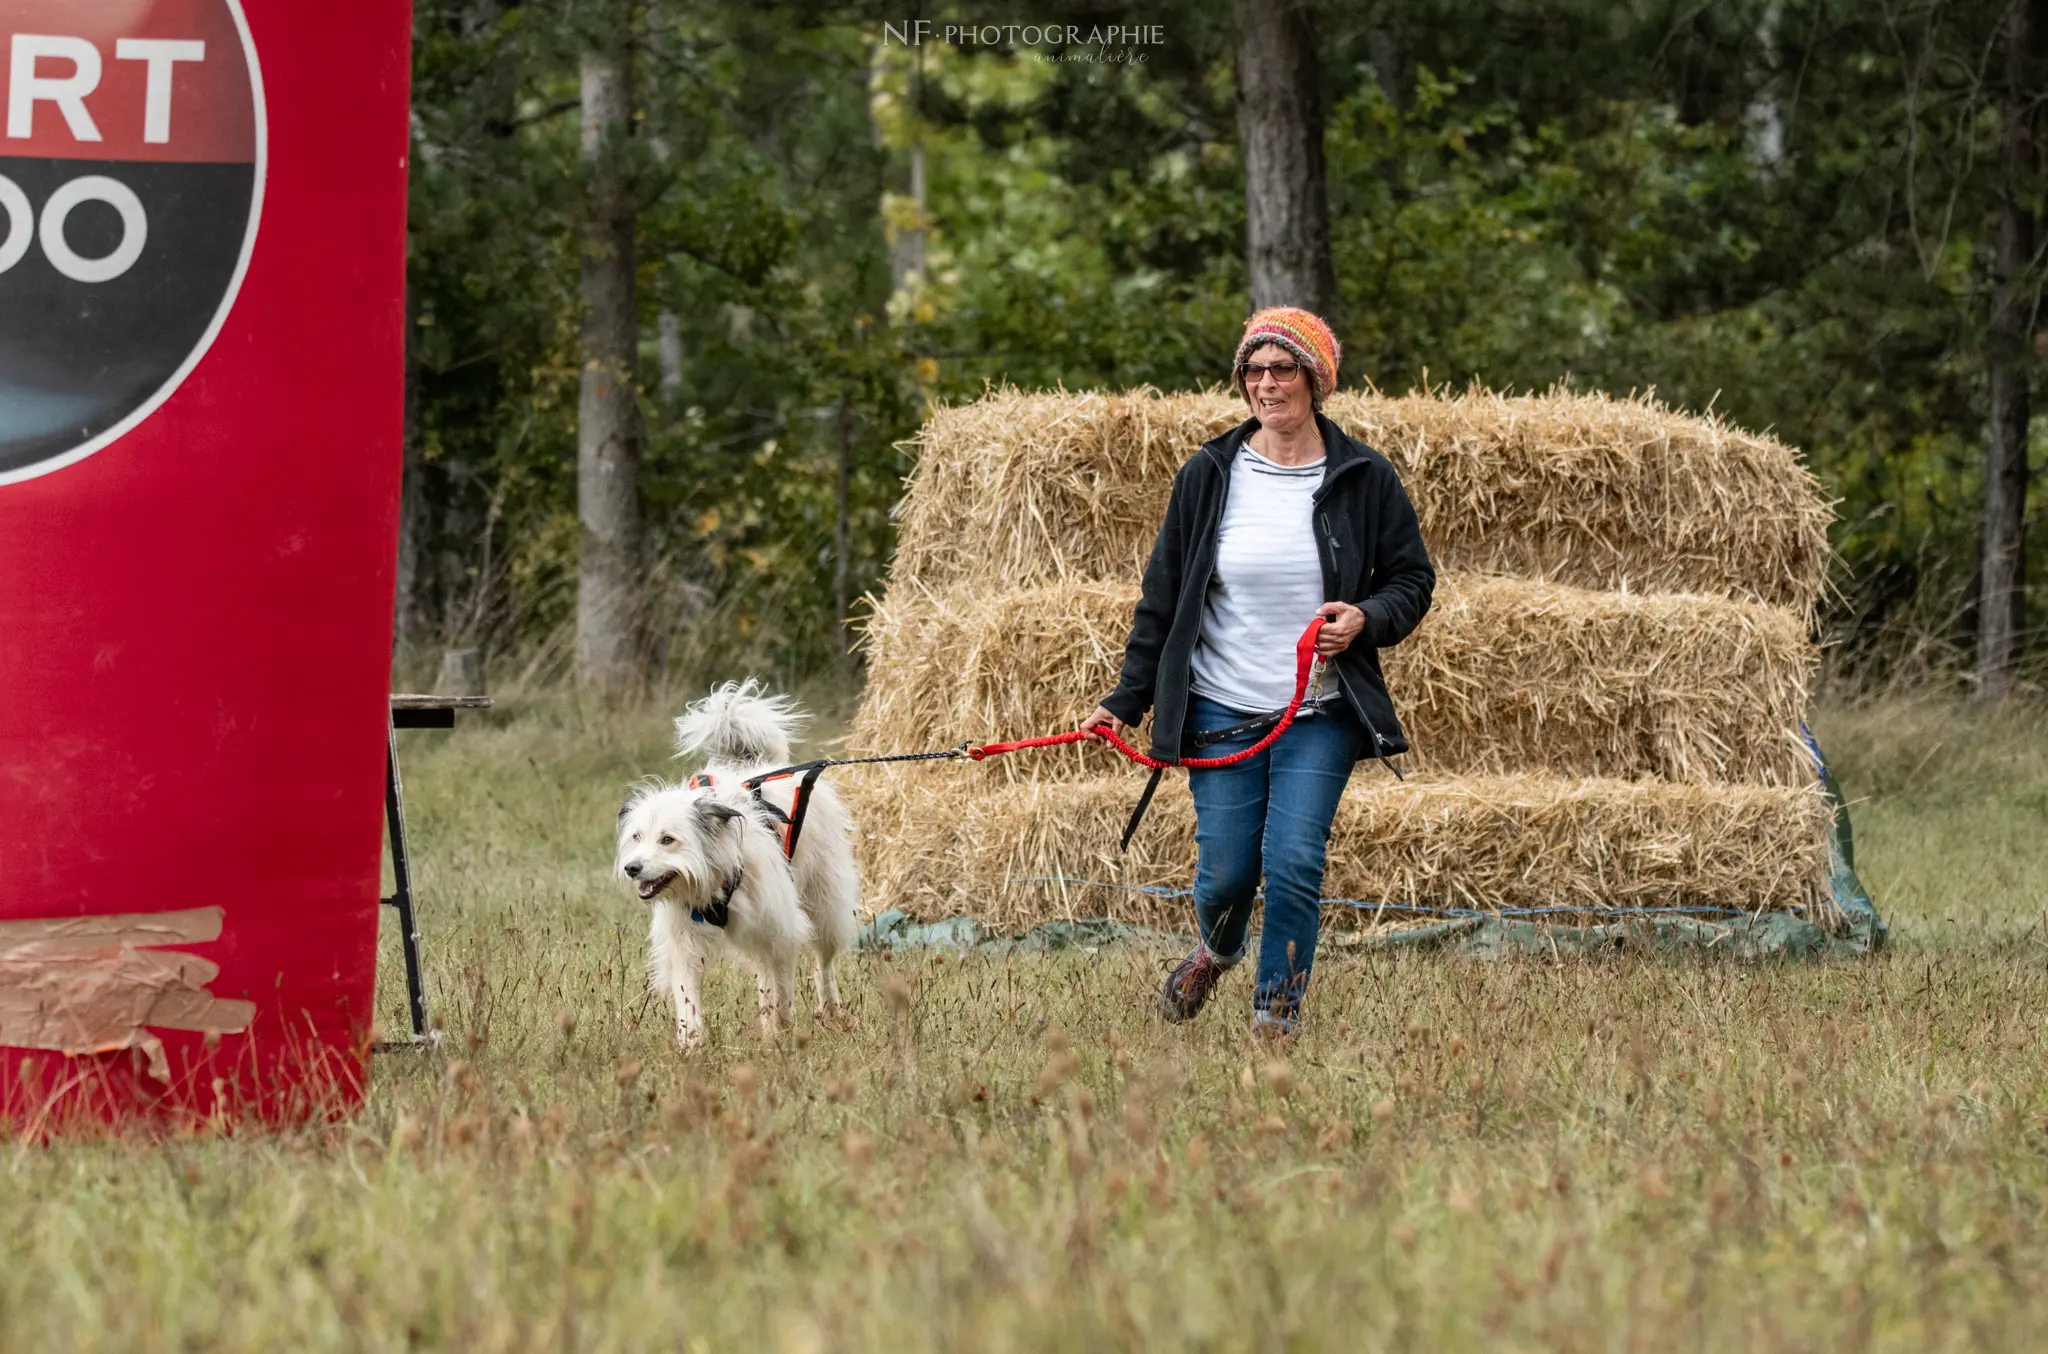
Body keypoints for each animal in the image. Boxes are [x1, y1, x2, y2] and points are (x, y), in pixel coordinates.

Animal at [610, 680, 860, 1048]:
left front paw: (778, 1035)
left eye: (668, 840)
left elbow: (779, 990)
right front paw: (691, 1044)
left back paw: (830, 1010)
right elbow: (688, 993)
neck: (715, 875)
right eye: (637, 837)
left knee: (823, 963)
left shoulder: (778, 930)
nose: (632, 868)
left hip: (824, 906)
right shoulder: (685, 940)